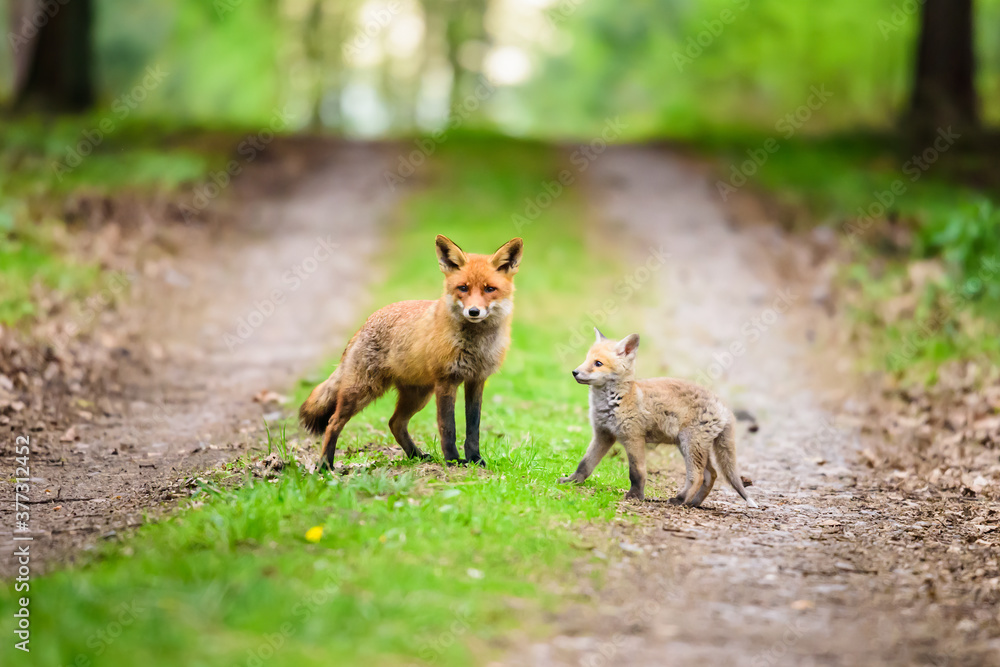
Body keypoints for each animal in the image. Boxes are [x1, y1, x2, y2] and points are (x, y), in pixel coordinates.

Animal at [299, 235, 523, 470]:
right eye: (463, 288)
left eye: (489, 289)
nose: (473, 311)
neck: (475, 345)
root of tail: (365, 323)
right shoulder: (446, 381)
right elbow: (448, 428)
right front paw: (453, 461)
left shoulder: (476, 380)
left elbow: (473, 428)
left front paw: (475, 459)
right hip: (363, 391)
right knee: (333, 422)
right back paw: (325, 465)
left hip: (418, 395)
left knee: (395, 423)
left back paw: (416, 455)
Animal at [559, 329, 758, 508]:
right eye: (586, 359)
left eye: (598, 363)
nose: (574, 372)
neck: (615, 400)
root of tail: (722, 404)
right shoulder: (603, 435)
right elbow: (585, 463)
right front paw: (573, 481)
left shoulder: (633, 438)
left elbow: (636, 472)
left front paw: (635, 496)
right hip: (692, 446)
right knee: (712, 474)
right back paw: (693, 503)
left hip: (690, 445)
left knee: (698, 475)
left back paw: (679, 499)